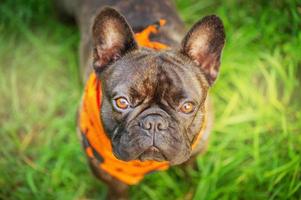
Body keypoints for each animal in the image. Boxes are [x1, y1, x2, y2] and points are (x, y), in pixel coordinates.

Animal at [55, 0, 224, 199]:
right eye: (122, 102)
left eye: (187, 106)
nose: (154, 123)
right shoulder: (102, 170)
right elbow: (118, 190)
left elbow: (189, 170)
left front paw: (192, 189)